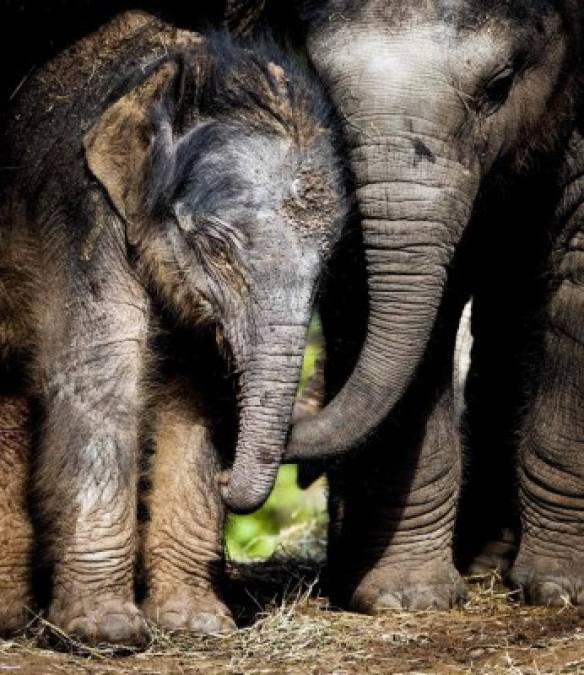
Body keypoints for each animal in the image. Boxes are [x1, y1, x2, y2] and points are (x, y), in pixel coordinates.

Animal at [0, 9, 346, 644]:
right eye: (215, 246)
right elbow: (103, 365)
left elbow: (198, 389)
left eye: (328, 262)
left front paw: (198, 625)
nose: (230, 478)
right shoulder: (78, 206)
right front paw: (106, 634)